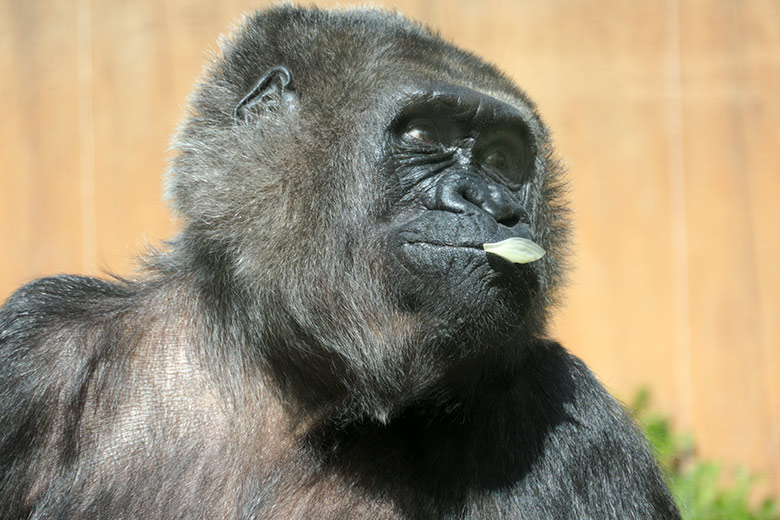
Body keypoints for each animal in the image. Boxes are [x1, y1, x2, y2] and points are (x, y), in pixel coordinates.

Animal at [0, 5, 680, 520]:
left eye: (502, 159)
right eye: (422, 137)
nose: (493, 203)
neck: (290, 383)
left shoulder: (571, 421)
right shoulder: (34, 344)